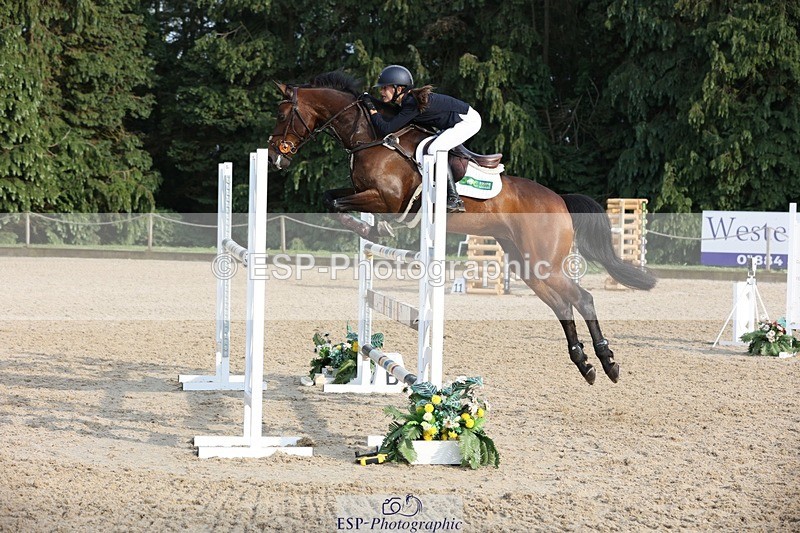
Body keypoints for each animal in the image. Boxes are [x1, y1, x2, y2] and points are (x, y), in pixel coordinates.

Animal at [266, 71, 656, 385]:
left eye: (283, 114)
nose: (274, 157)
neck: (373, 136)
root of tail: (559, 199)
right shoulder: (362, 193)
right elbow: (330, 199)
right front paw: (372, 232)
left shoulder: (386, 199)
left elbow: (339, 206)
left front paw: (378, 233)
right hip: (529, 265)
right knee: (563, 305)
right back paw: (585, 364)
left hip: (544, 262)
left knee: (583, 298)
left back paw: (608, 363)